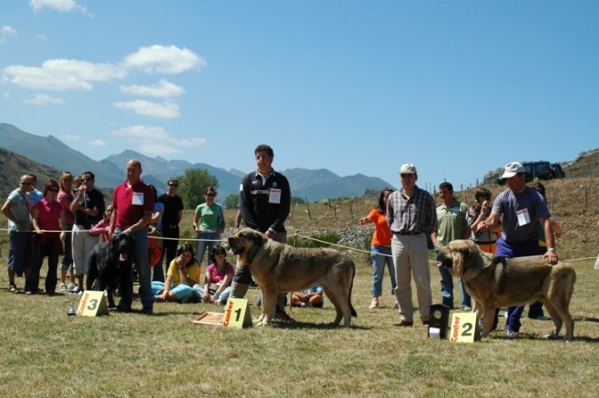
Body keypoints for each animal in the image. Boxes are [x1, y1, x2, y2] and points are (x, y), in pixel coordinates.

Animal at [226, 227, 356, 326]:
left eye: (242, 235)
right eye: (235, 232)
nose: (229, 238)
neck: (257, 251)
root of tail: (348, 258)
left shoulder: (270, 289)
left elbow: (269, 308)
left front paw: (265, 322)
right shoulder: (263, 289)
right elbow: (264, 306)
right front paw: (260, 320)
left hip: (338, 290)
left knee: (347, 310)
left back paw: (345, 327)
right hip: (330, 291)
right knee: (340, 310)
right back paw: (334, 324)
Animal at [436, 239, 576, 342]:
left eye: (449, 248)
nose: (436, 253)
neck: (471, 264)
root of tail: (567, 264)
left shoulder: (488, 305)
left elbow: (487, 322)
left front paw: (482, 336)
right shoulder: (478, 304)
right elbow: (474, 317)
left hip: (556, 299)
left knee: (569, 320)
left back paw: (568, 339)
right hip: (548, 301)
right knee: (558, 320)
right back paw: (551, 336)